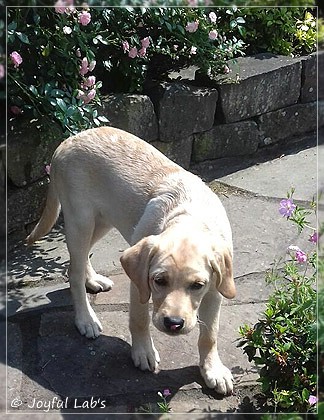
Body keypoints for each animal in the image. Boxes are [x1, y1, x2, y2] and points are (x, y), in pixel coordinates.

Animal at [27, 126, 235, 396]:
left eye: (197, 286)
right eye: (159, 281)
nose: (174, 324)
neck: (190, 216)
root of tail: (69, 139)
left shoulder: (215, 291)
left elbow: (209, 334)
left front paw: (212, 370)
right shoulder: (139, 286)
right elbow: (140, 319)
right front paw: (143, 352)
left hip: (102, 219)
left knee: (79, 260)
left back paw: (92, 280)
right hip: (80, 220)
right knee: (74, 271)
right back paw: (86, 319)